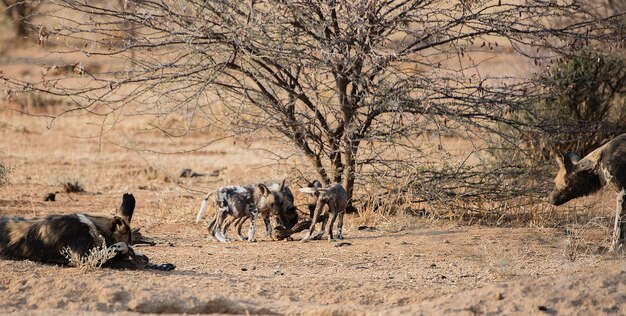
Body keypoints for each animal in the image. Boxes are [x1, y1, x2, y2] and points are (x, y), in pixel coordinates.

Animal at [0, 194, 174, 270]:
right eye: (130, 245)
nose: (146, 258)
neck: (94, 228)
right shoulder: (85, 258)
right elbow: (119, 247)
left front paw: (160, 264)